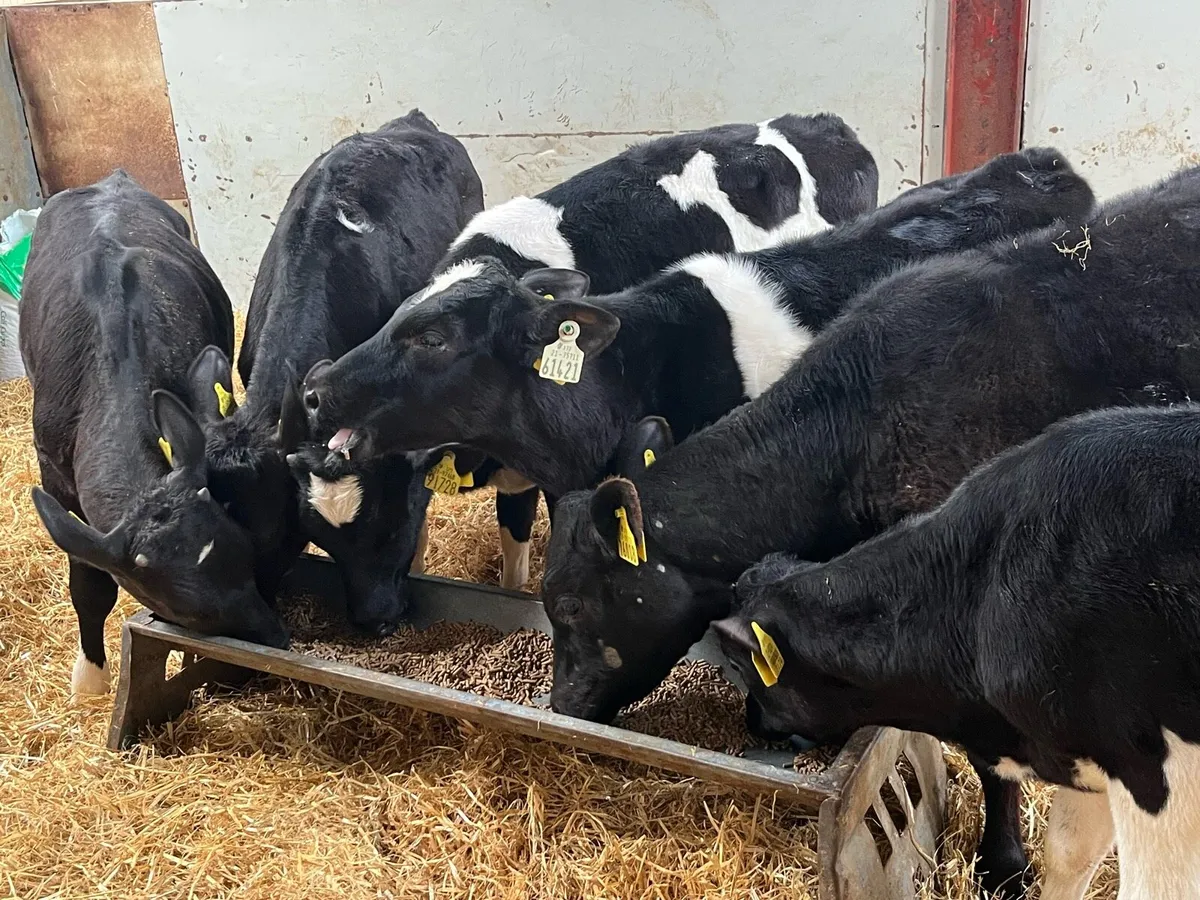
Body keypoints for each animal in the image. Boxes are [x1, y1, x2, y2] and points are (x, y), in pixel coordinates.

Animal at [19, 169, 287, 696]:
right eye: (189, 611)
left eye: (244, 554)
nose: (276, 639)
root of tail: (113, 178)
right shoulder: (53, 475)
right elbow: (89, 584)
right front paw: (90, 677)